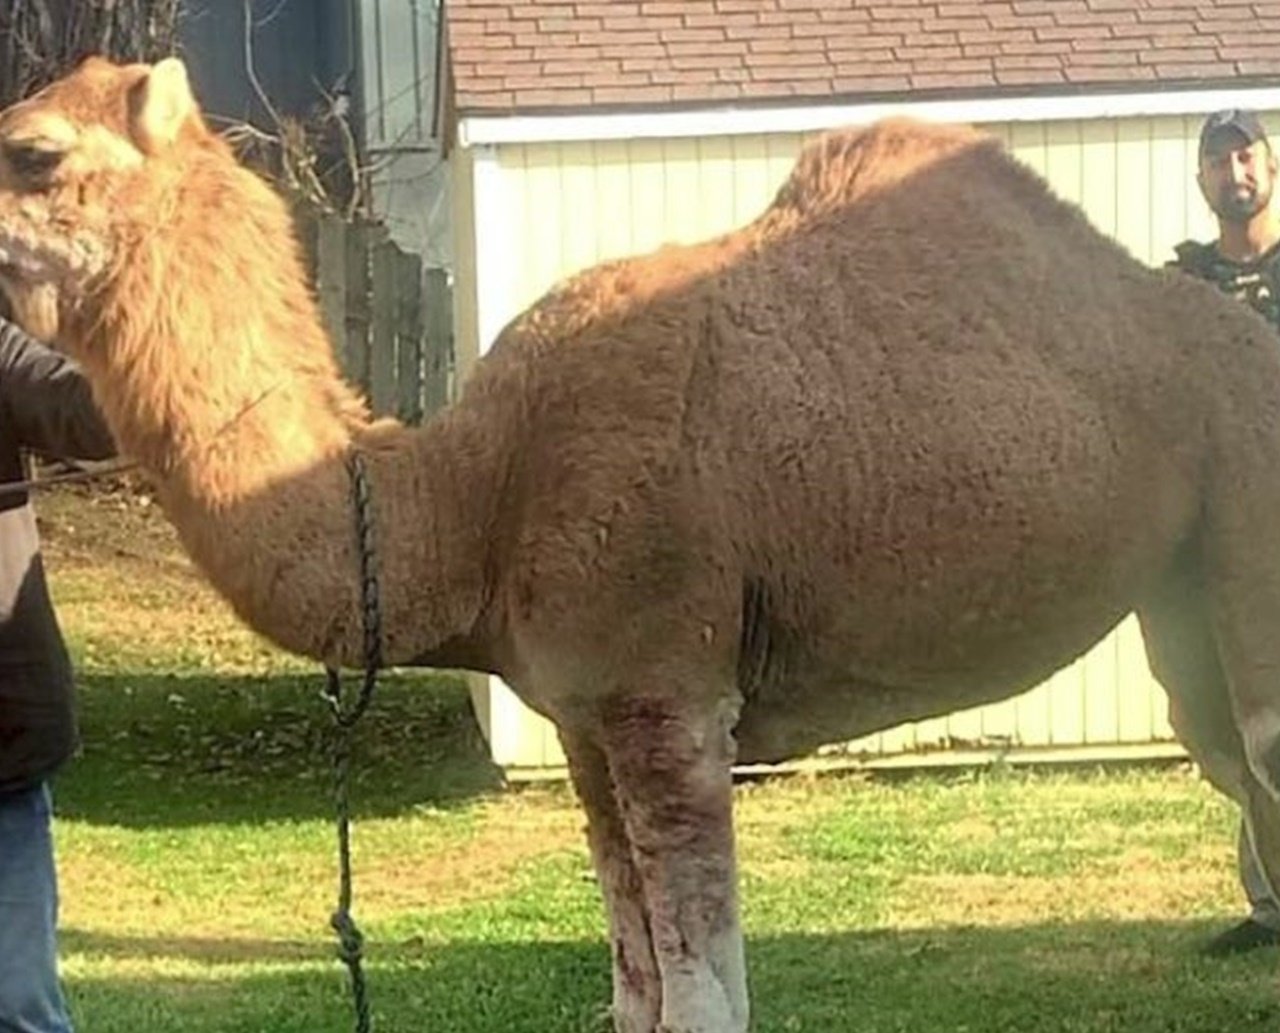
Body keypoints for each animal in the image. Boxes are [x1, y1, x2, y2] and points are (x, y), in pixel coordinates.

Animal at [0, 56, 1280, 1033]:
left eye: (36, 153)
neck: (474, 495)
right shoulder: (581, 713)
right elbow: (635, 994)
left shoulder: (670, 696)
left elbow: (704, 1004)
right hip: (1178, 598)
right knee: (1228, 759)